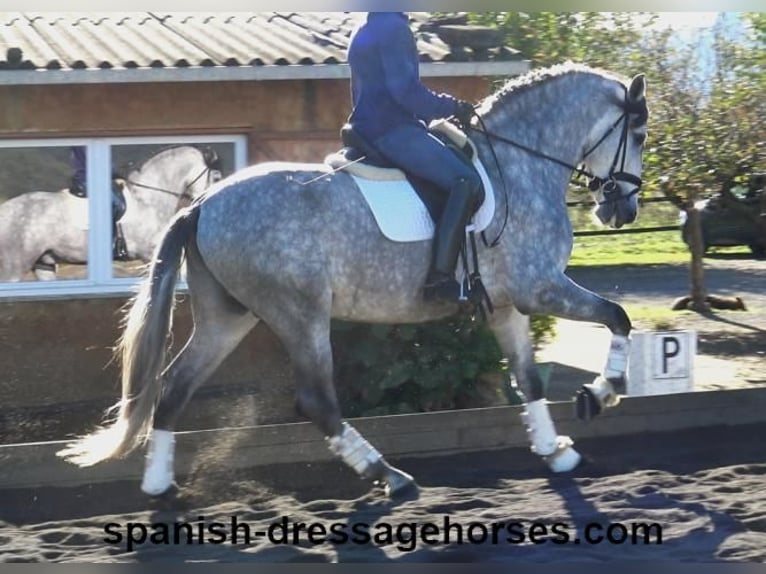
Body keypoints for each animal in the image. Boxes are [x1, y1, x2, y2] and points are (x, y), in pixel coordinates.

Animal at [58, 64, 648, 500]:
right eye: (639, 133)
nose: (622, 209)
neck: (519, 164)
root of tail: (201, 204)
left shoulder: (507, 305)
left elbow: (529, 379)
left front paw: (557, 452)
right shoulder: (539, 287)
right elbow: (618, 316)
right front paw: (601, 394)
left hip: (228, 316)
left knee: (174, 387)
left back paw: (159, 486)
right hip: (300, 314)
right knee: (317, 402)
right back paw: (391, 476)